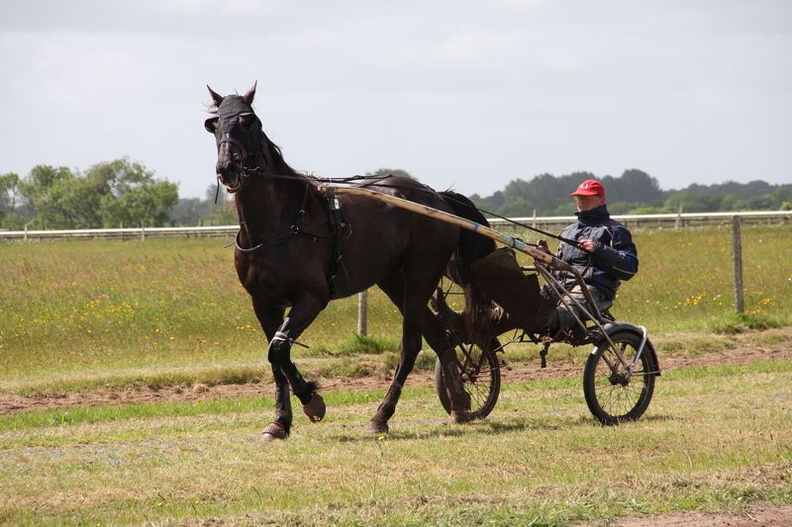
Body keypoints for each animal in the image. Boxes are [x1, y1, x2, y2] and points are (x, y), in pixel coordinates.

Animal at [204, 84, 492, 440]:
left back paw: (382, 415)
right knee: (440, 338)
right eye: (214, 125)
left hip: (419, 278)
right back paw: (460, 405)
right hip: (394, 281)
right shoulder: (263, 303)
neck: (278, 223)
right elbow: (274, 358)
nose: (227, 168)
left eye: (248, 121)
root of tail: (437, 198)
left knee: (412, 345)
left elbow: (280, 348)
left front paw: (312, 401)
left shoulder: (312, 297)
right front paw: (280, 422)